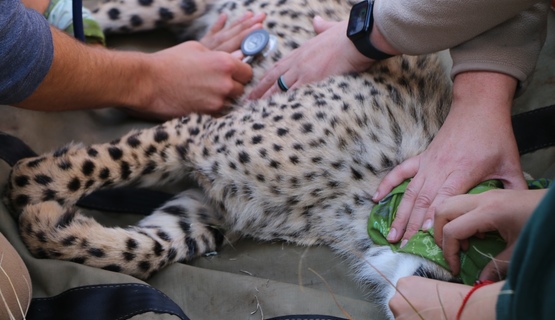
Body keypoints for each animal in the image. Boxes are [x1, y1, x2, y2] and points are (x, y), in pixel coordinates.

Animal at [4, 0, 456, 316]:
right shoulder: (201, 134)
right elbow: (78, 167)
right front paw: (28, 192)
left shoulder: (212, 209)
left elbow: (141, 250)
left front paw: (53, 224)